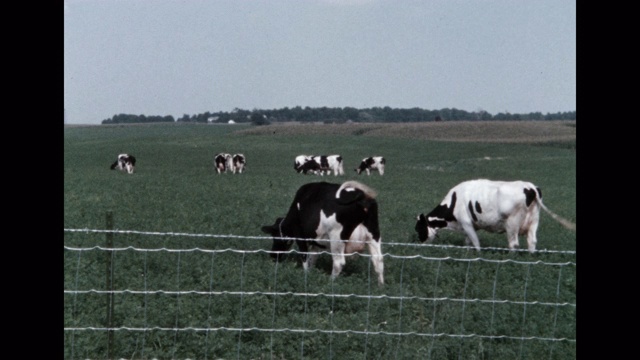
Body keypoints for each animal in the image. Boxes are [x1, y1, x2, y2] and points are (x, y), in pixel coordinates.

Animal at [416, 178, 576, 252]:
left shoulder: (466, 223)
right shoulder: (469, 226)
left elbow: (476, 242)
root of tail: (530, 187)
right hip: (534, 220)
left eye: (419, 228)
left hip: (512, 223)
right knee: (532, 242)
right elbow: (468, 242)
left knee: (513, 244)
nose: (419, 245)